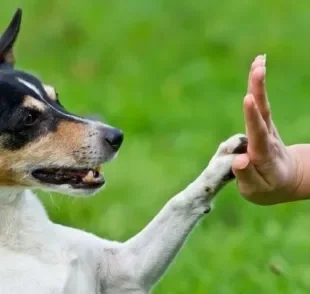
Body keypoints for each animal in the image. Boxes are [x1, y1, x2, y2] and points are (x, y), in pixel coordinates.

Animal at [0, 8, 248, 292]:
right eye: (28, 118)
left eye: (56, 97)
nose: (116, 137)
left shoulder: (125, 269)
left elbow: (178, 203)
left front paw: (222, 163)